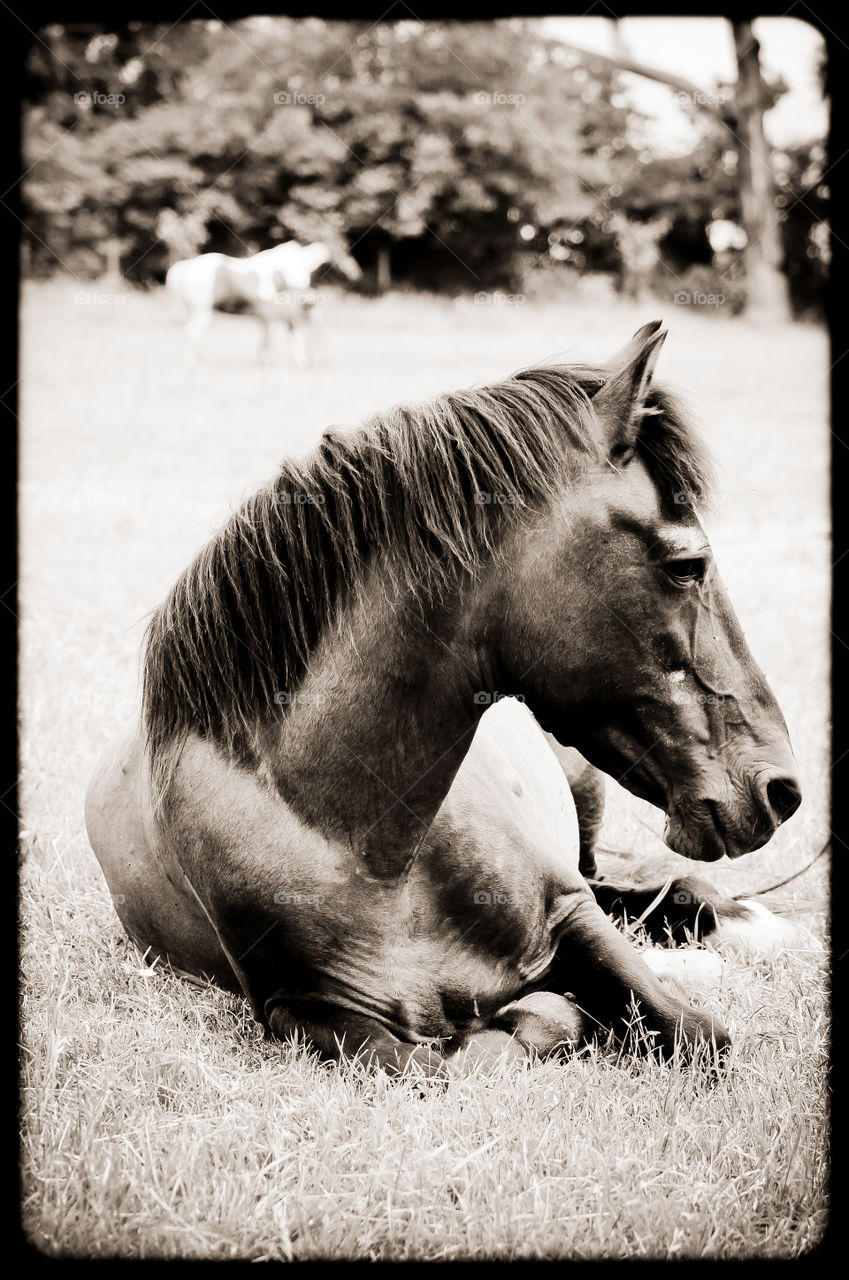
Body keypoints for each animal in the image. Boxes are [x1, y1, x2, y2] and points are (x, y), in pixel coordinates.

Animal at [86, 320, 804, 1070]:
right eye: (686, 566)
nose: (780, 788)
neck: (372, 854)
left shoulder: (569, 915)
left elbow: (693, 1030)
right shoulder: (311, 1014)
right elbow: (468, 1052)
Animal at [166, 240, 361, 366]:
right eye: (344, 249)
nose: (355, 272)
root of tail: (184, 267)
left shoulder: (271, 314)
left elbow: (268, 338)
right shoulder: (287, 312)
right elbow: (291, 336)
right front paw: (297, 360)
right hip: (201, 310)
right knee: (193, 331)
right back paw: (193, 361)